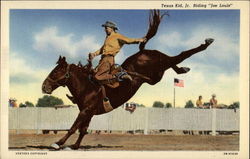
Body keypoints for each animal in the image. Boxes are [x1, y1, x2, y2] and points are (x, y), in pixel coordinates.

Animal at [42, 10, 214, 150]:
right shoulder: (89, 112)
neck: (88, 86)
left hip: (160, 63)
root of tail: (143, 52)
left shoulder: (85, 111)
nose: (44, 87)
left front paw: (57, 143)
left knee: (181, 55)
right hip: (155, 76)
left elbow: (73, 127)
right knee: (175, 61)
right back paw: (183, 68)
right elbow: (83, 130)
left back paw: (205, 44)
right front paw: (75, 146)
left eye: (56, 70)